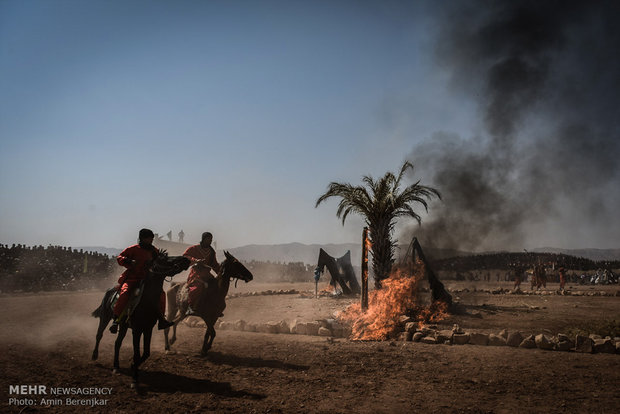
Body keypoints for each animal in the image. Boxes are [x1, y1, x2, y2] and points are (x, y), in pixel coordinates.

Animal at [91, 252, 190, 384]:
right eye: (164, 259)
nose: (185, 259)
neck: (146, 301)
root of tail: (111, 290)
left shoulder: (148, 329)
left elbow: (146, 353)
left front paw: (134, 366)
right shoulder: (137, 330)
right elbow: (137, 353)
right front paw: (134, 379)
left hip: (123, 326)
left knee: (117, 343)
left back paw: (116, 366)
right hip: (105, 317)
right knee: (99, 335)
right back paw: (95, 355)